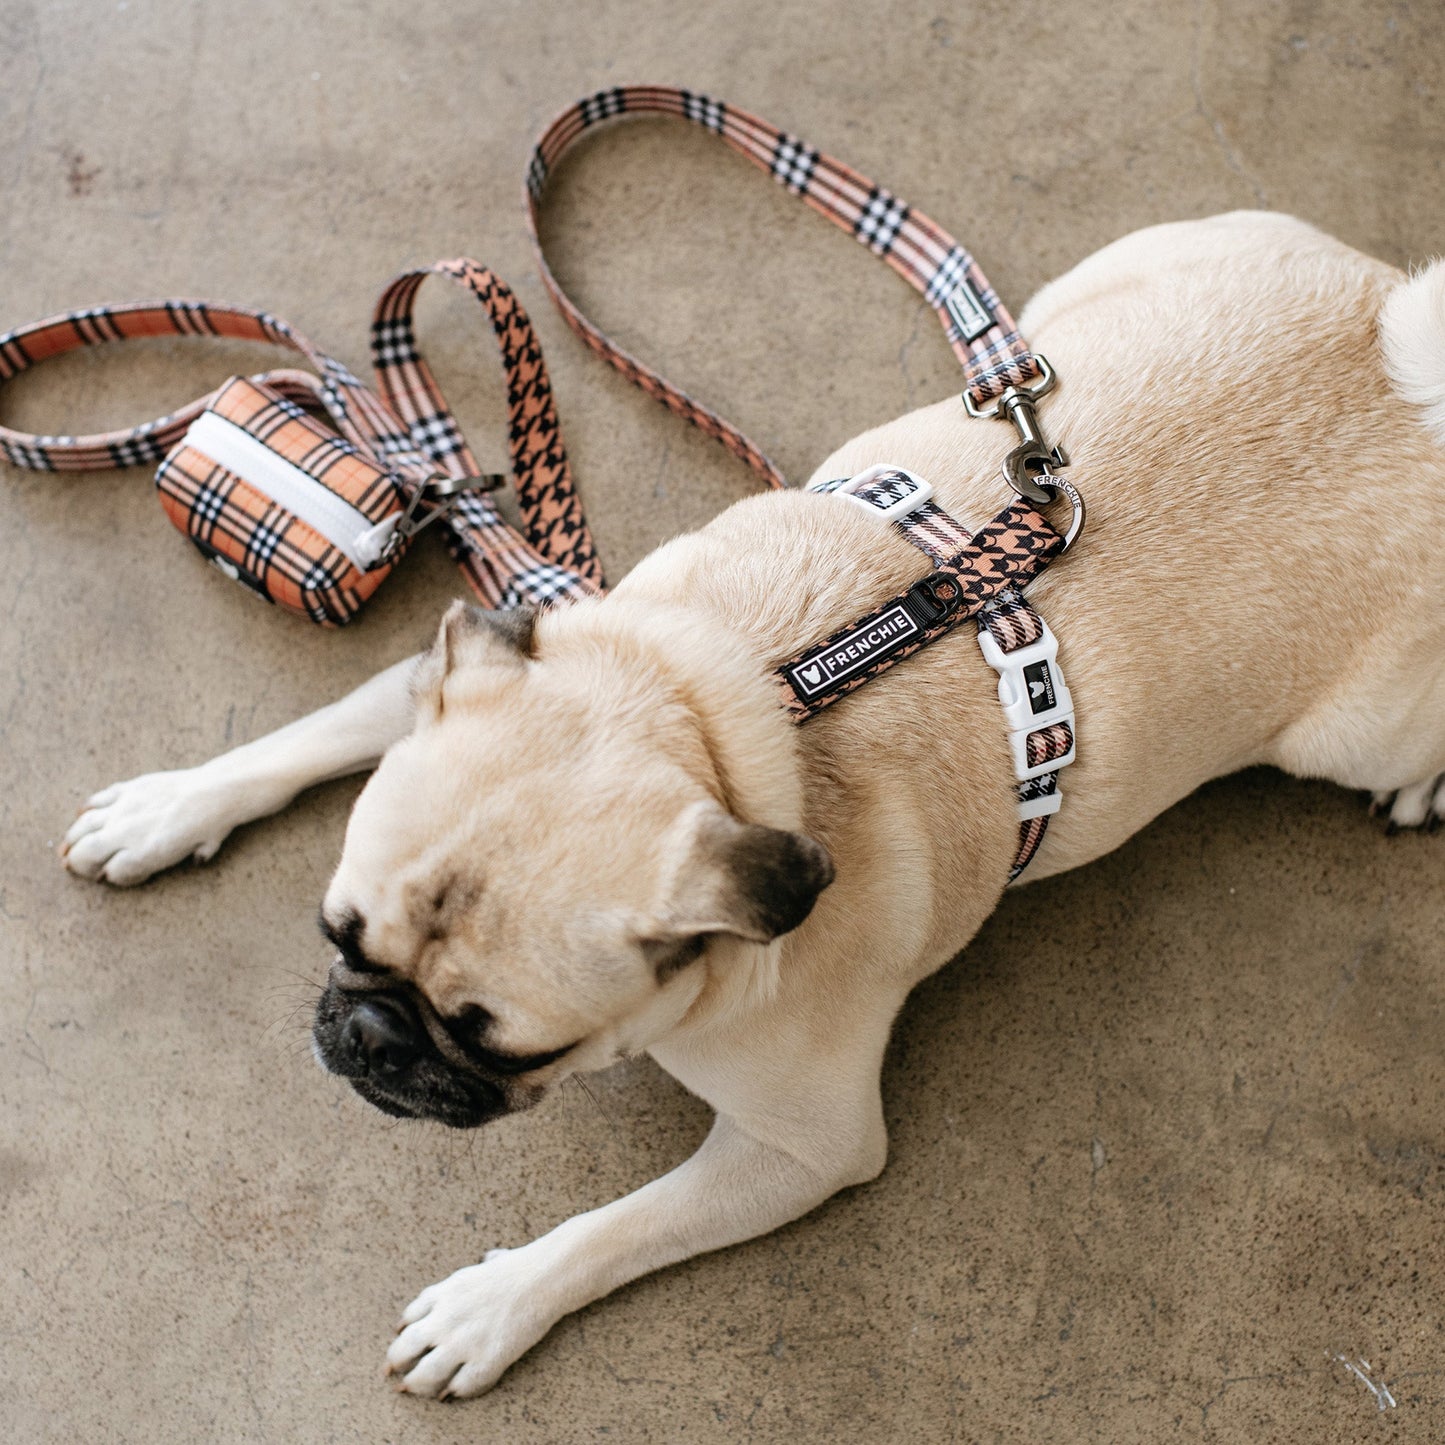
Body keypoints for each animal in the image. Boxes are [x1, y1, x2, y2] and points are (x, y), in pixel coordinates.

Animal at [56, 209, 1445, 1392]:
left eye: (506, 1044)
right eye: (337, 936)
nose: (367, 1037)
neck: (723, 716)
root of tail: (1393, 343)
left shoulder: (803, 1146)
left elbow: (609, 1230)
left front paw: (494, 1302)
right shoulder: (489, 656)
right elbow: (300, 738)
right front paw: (171, 804)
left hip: (1342, 737)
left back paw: (1421, 780)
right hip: (1071, 316)